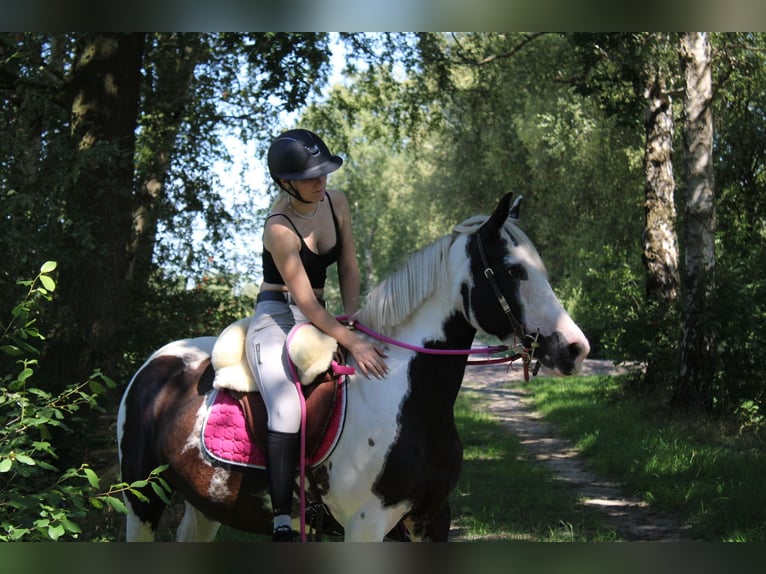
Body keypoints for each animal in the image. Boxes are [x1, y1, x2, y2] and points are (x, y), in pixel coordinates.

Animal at [117, 195, 592, 544]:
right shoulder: (366, 526)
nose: (575, 348)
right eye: (514, 270)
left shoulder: (432, 521)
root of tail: (157, 362)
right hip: (141, 500)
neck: (405, 399)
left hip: (203, 506)